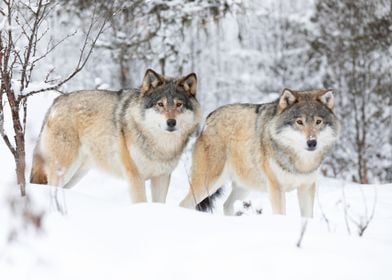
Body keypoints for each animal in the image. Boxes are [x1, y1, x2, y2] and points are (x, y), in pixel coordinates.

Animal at [29, 69, 202, 202]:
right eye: (160, 104)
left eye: (179, 104)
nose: (171, 122)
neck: (160, 146)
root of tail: (56, 102)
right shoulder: (135, 177)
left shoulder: (161, 178)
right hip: (64, 170)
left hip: (76, 174)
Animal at [181, 88, 340, 218]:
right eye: (299, 122)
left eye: (318, 122)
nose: (312, 142)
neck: (299, 162)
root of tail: (209, 118)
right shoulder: (276, 188)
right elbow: (280, 214)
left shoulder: (306, 188)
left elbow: (307, 218)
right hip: (208, 184)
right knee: (184, 204)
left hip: (243, 187)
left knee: (226, 205)